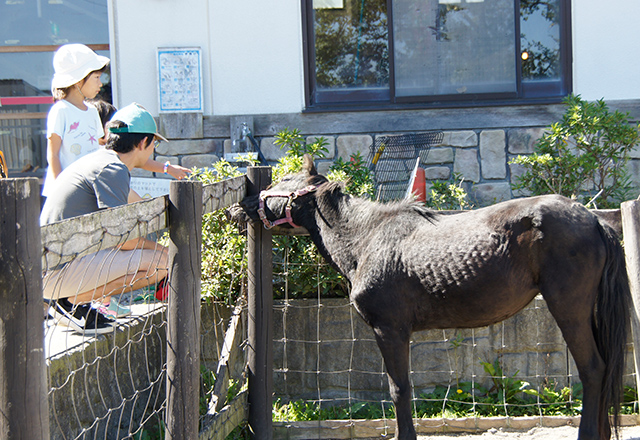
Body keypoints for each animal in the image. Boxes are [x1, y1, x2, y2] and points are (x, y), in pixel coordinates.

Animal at [230, 156, 632, 440]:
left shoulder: (389, 330)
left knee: (593, 369)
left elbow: (399, 390)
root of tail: (593, 219)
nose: (244, 203)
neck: (366, 237)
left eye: (283, 182)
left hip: (569, 309)